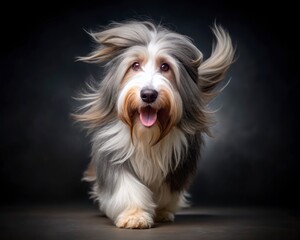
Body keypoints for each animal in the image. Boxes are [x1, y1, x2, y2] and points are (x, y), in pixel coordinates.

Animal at [73, 19, 234, 228]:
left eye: (165, 67)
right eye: (135, 65)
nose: (148, 94)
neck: (146, 134)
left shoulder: (177, 163)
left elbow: (166, 191)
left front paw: (160, 212)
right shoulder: (114, 152)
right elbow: (127, 187)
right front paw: (134, 216)